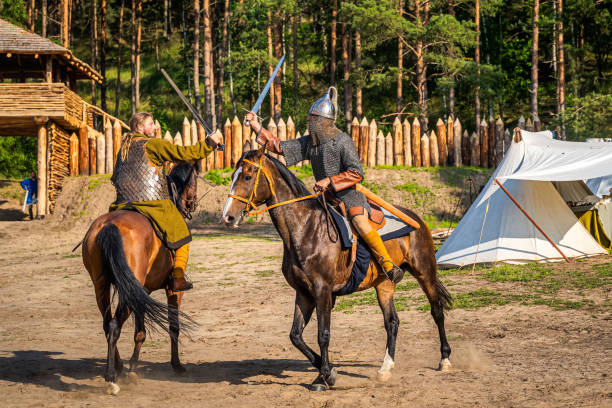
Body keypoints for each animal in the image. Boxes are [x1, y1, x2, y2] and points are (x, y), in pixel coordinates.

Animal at [82, 163, 198, 396]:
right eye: (195, 180)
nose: (192, 203)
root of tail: (109, 225)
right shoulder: (173, 291)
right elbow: (174, 326)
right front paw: (177, 365)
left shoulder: (141, 291)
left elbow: (140, 330)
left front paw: (132, 368)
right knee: (114, 326)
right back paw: (111, 378)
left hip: (102, 285)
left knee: (107, 324)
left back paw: (117, 367)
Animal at [222, 148, 452, 390]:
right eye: (233, 176)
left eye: (248, 176)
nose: (228, 217)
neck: (306, 228)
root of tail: (418, 220)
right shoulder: (304, 293)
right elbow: (296, 336)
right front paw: (327, 369)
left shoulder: (322, 290)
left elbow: (323, 334)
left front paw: (323, 376)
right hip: (384, 284)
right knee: (392, 322)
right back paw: (385, 367)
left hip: (425, 272)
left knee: (437, 311)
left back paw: (444, 359)